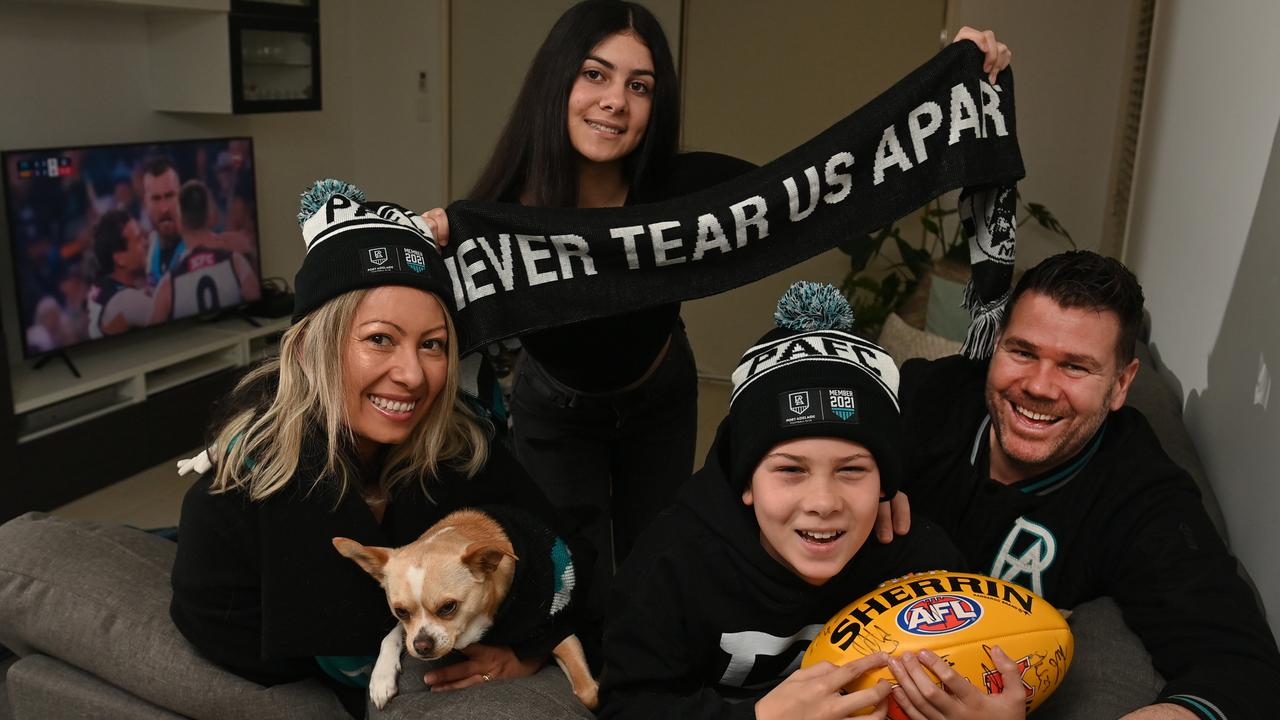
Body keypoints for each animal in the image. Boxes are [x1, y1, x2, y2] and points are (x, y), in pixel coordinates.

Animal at [327, 504, 591, 707]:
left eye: (448, 607)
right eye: (400, 612)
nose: (422, 646)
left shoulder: (554, 631)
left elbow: (587, 692)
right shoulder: (409, 631)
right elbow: (392, 636)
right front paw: (381, 678)